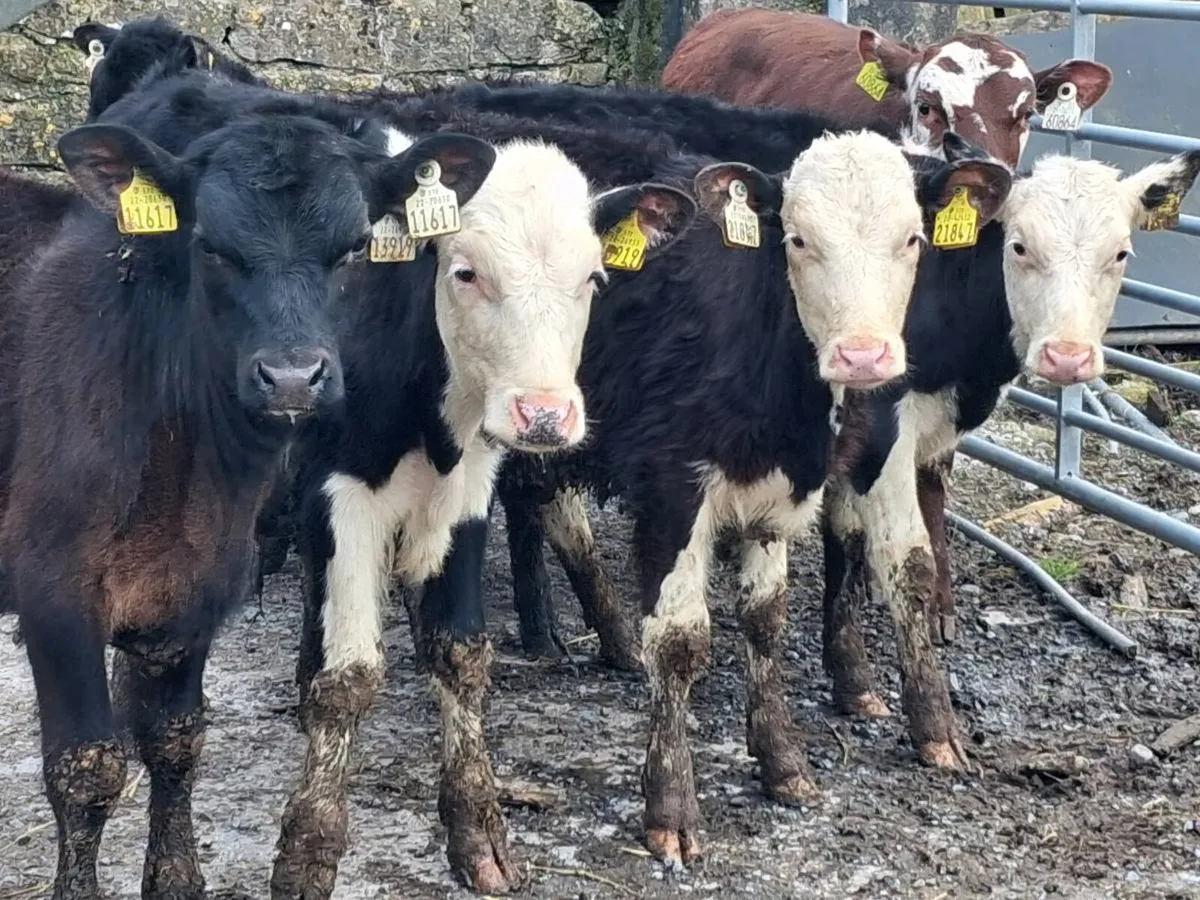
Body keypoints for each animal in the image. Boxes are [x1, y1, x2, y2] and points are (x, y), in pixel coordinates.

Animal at [0, 70, 495, 898]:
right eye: (209, 246)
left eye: (355, 247)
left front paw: (175, 879)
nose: (293, 377)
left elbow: (175, 740)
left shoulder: (193, 588)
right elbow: (85, 769)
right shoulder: (52, 588)